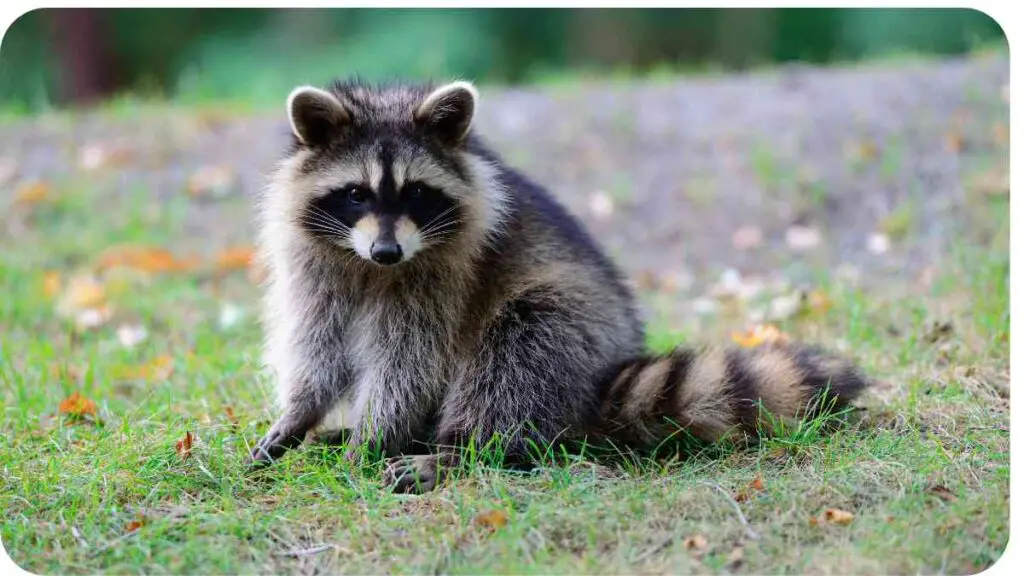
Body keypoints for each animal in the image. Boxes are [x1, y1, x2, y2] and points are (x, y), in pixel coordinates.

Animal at [249, 75, 872, 487]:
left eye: (416, 193)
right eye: (356, 193)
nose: (386, 251)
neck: (368, 268)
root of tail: (605, 377)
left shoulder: (443, 276)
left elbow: (410, 362)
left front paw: (375, 436)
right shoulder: (316, 265)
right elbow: (317, 346)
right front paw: (301, 413)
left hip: (571, 326)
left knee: (518, 353)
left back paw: (459, 450)